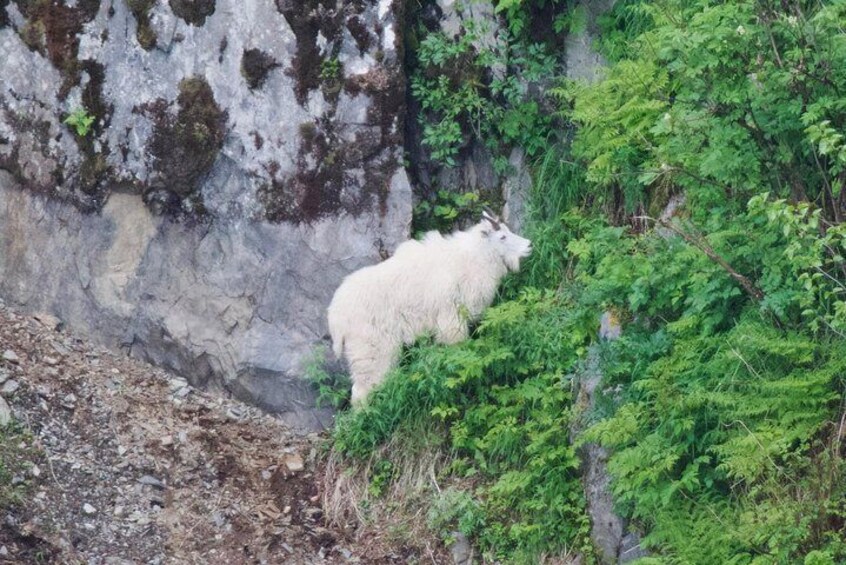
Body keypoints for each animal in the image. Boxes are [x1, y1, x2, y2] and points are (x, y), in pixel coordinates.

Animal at [328, 209, 532, 404]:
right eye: (502, 237)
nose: (529, 245)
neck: (472, 258)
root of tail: (335, 317)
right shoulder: (451, 318)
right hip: (370, 349)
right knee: (361, 390)